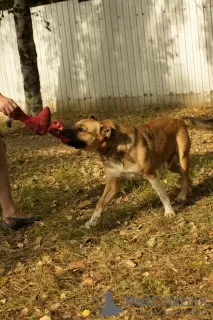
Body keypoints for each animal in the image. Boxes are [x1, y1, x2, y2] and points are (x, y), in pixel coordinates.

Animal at [54, 115, 213, 228]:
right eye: (75, 125)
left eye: (82, 130)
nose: (60, 130)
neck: (114, 147)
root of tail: (179, 119)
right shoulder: (113, 184)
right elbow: (100, 203)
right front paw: (92, 222)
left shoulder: (151, 175)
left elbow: (162, 195)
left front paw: (169, 212)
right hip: (170, 165)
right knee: (186, 177)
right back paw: (187, 191)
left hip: (183, 157)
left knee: (185, 175)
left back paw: (182, 195)